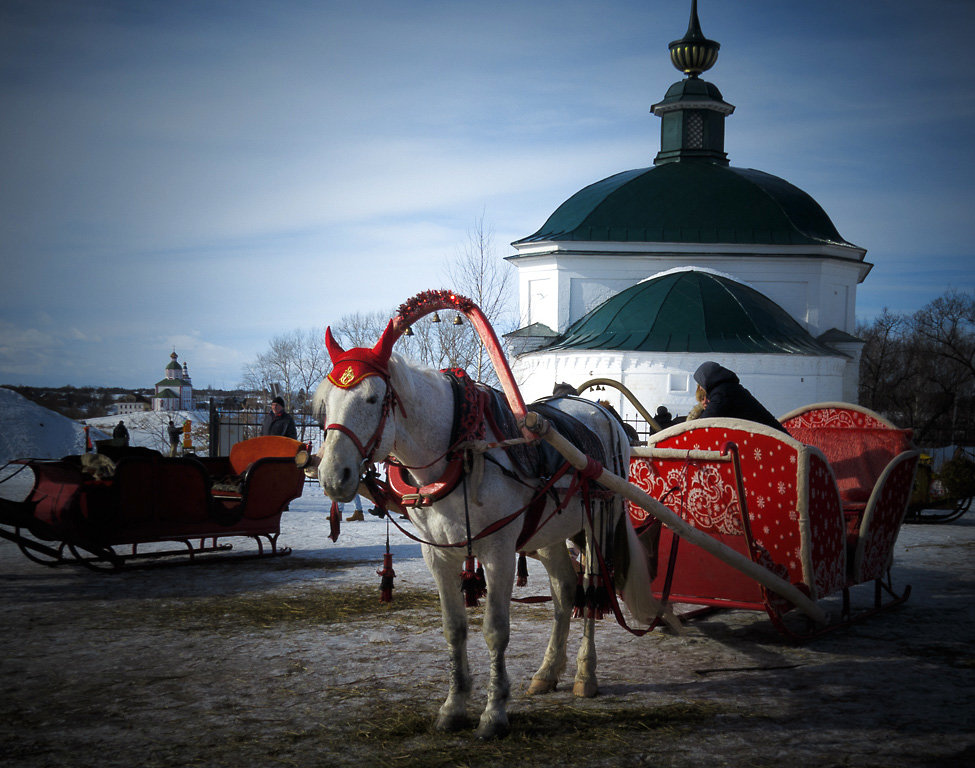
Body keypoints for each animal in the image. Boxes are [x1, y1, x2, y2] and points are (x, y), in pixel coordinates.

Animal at [316, 328, 660, 736]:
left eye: (371, 398)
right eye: (325, 403)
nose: (332, 476)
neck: (459, 449)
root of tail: (603, 412)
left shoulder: (499, 553)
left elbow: (495, 630)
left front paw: (494, 713)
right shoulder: (438, 554)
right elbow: (454, 628)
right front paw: (453, 707)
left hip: (597, 525)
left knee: (591, 595)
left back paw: (584, 675)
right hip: (549, 532)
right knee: (564, 591)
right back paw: (547, 672)